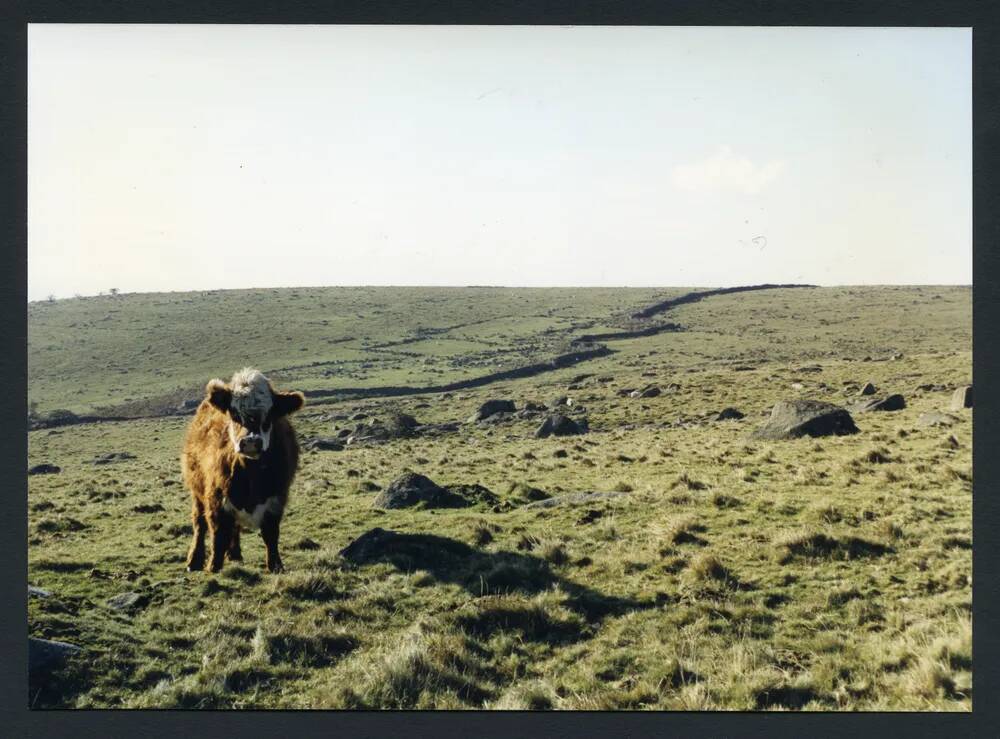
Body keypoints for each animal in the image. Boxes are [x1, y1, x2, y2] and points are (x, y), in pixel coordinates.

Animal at [180, 368, 304, 572]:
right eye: (234, 413)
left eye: (270, 414)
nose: (251, 442)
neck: (251, 474)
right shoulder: (216, 497)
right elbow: (218, 534)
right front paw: (213, 566)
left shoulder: (276, 499)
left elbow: (271, 535)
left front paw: (275, 565)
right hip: (197, 491)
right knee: (200, 523)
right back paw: (195, 560)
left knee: (235, 527)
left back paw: (235, 554)